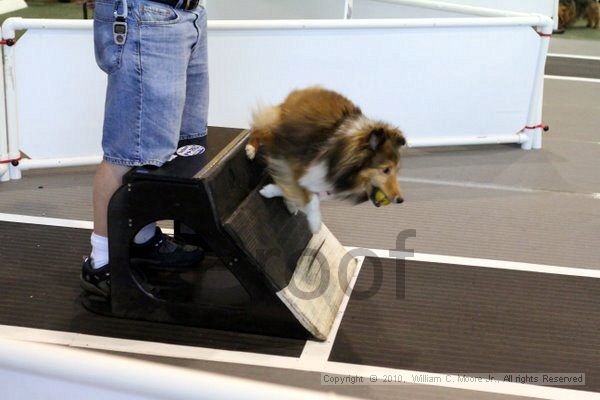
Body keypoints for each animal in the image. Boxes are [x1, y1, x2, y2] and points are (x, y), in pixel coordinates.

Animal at [245, 86, 408, 233]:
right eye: (386, 170)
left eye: (397, 170)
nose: (400, 200)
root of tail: (304, 90)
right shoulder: (297, 164)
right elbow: (310, 197)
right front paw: (315, 222)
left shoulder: (321, 180)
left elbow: (303, 191)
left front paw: (280, 196)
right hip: (274, 126)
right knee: (256, 129)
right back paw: (250, 148)